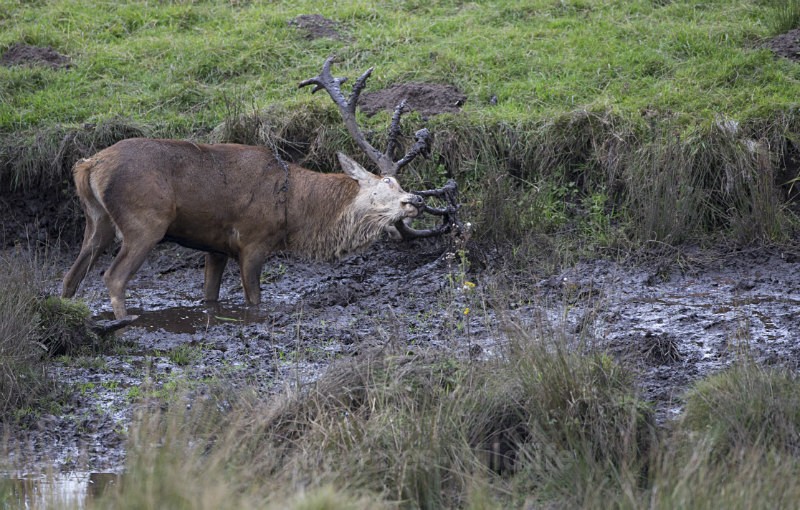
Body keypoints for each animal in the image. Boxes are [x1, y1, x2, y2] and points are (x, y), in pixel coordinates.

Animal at [61, 57, 443, 320]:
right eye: (387, 183)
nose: (416, 201)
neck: (294, 208)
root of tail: (89, 165)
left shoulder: (214, 246)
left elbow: (210, 296)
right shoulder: (253, 241)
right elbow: (255, 299)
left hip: (97, 221)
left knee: (70, 276)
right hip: (144, 221)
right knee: (112, 277)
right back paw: (124, 323)